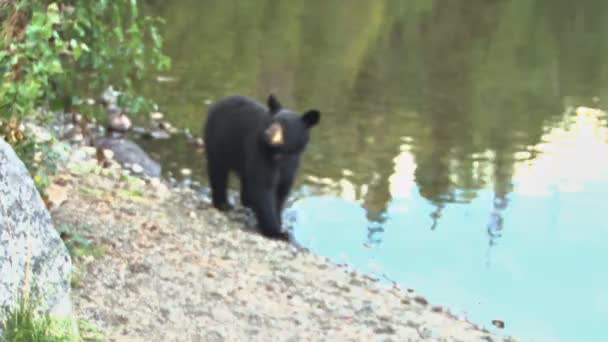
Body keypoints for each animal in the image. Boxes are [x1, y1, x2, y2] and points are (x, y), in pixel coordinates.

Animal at [203, 93, 320, 240]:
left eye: (284, 126)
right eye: (272, 122)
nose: (268, 133)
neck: (279, 154)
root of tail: (220, 101)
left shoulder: (292, 162)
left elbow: (281, 190)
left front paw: (279, 222)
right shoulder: (259, 151)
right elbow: (263, 187)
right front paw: (277, 232)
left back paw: (247, 202)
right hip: (219, 143)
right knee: (218, 172)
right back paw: (223, 204)